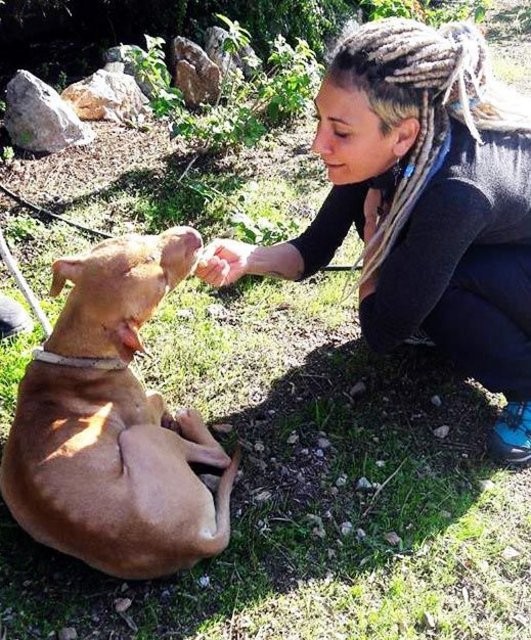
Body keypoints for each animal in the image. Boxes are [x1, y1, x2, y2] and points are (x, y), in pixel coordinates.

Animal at [0, 226, 241, 580]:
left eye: (142, 236)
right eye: (162, 280)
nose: (195, 235)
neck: (78, 355)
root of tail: (193, 541)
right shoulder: (145, 415)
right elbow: (157, 397)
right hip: (141, 438)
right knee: (220, 456)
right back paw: (190, 421)